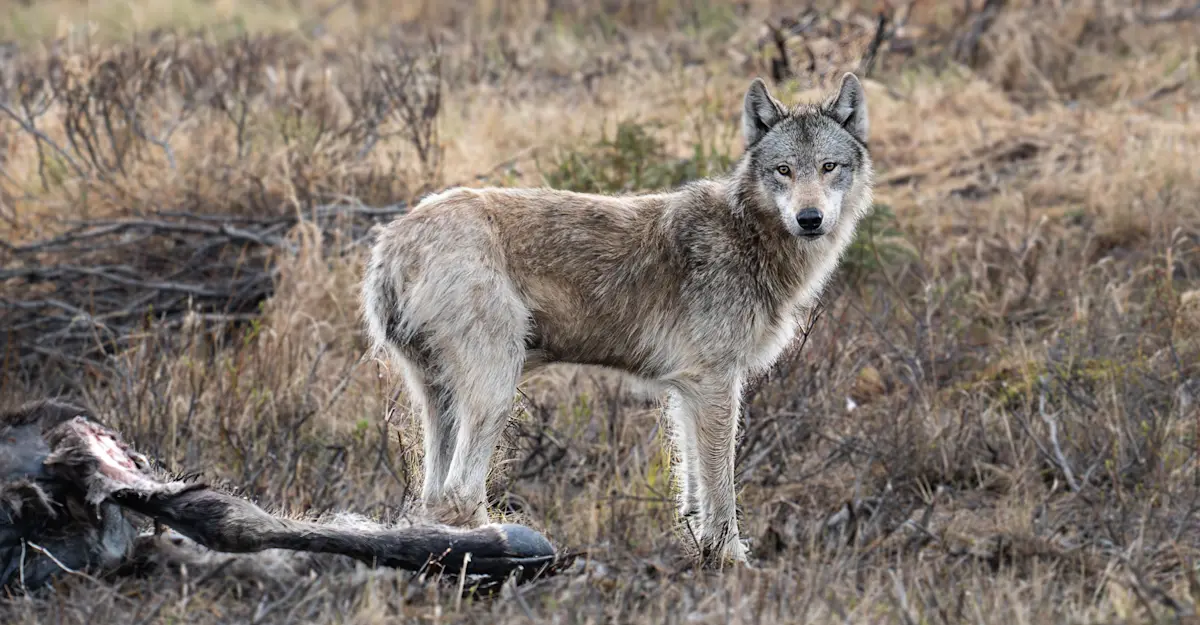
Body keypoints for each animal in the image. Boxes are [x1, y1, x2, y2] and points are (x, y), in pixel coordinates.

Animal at [360, 73, 874, 566]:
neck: (747, 234)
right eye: (783, 170)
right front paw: (730, 563)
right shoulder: (715, 383)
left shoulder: (687, 390)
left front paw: (699, 552)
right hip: (497, 393)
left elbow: (692, 488)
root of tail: (394, 238)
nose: (810, 218)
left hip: (439, 399)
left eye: (829, 167)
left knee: (432, 499)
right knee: (460, 494)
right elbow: (722, 490)